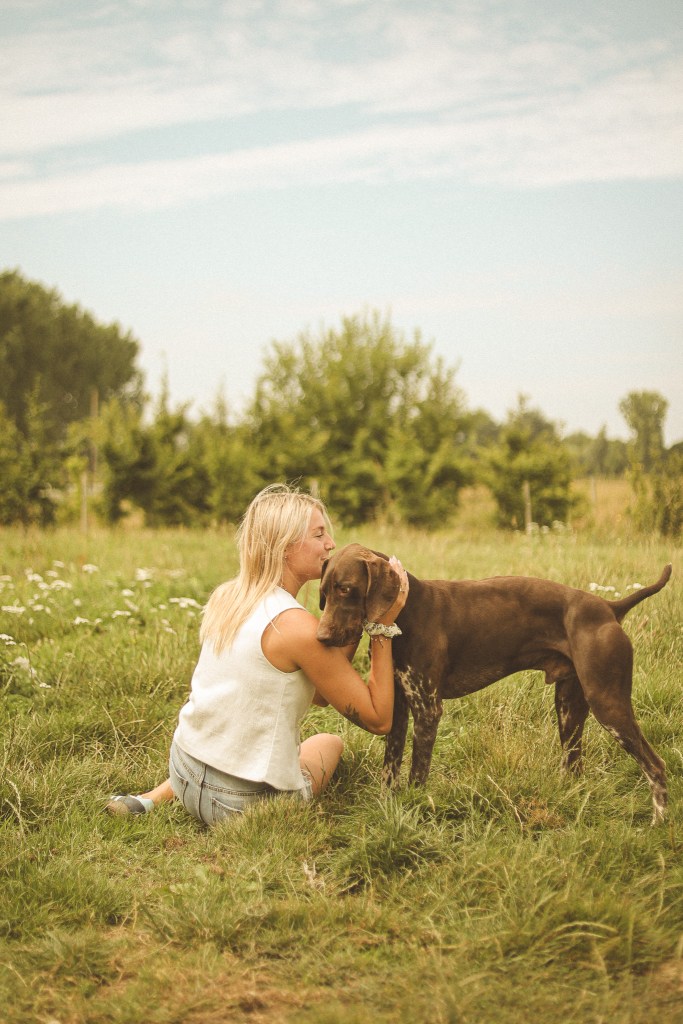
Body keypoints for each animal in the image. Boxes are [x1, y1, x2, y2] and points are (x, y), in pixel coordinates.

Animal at [317, 544, 672, 824]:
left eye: (345, 588)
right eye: (324, 592)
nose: (320, 638)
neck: (406, 612)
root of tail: (610, 608)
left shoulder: (428, 710)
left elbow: (417, 775)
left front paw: (412, 811)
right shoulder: (399, 708)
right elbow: (389, 771)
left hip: (608, 705)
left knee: (655, 766)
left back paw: (658, 824)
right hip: (569, 710)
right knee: (575, 767)